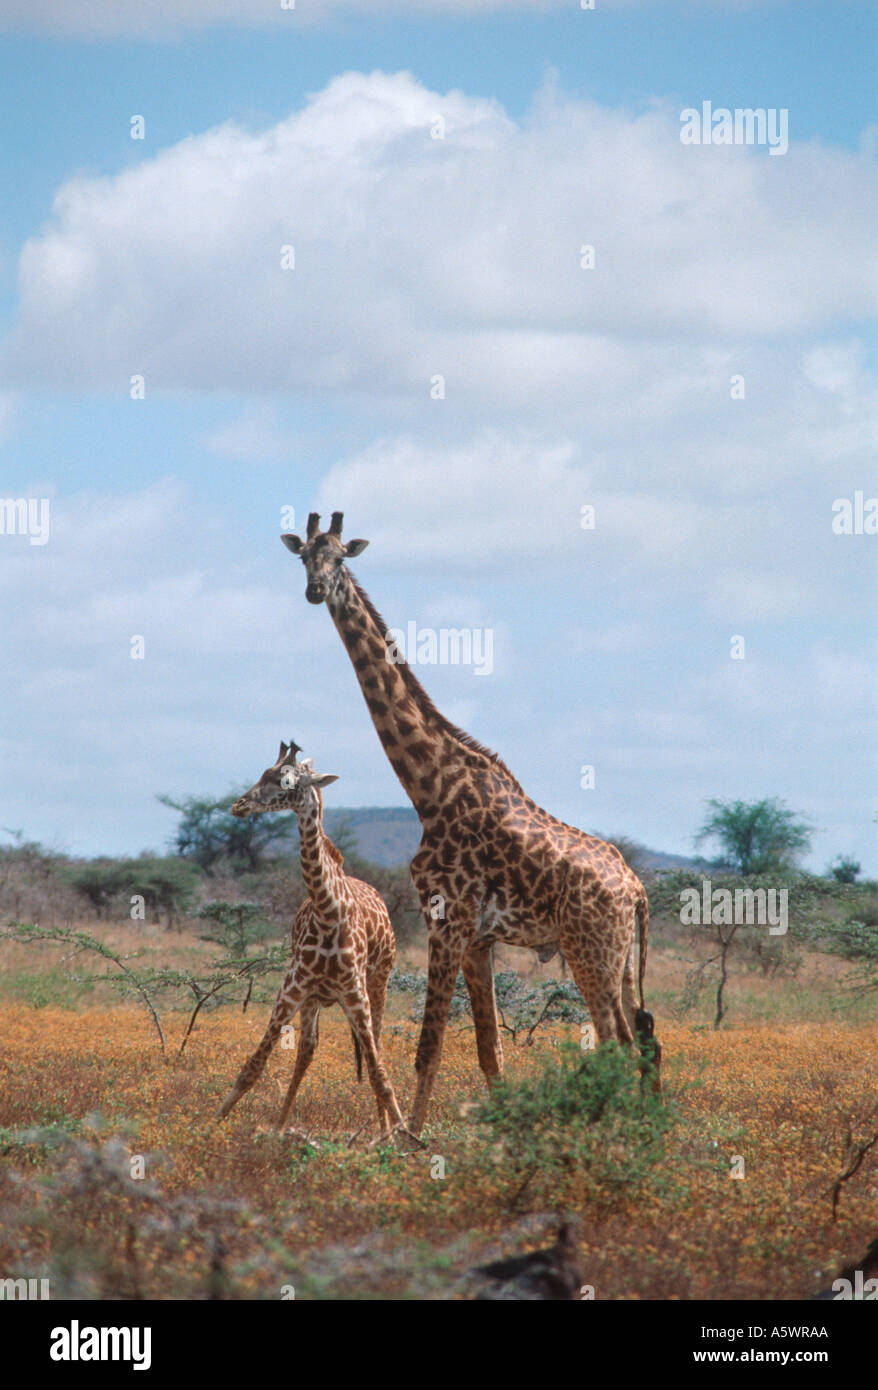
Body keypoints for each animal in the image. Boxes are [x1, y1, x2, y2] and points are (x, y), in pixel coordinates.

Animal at [218, 745, 402, 1134]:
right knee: (307, 1050)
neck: (329, 912)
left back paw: (384, 1129)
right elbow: (253, 1066)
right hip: (314, 998)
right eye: (263, 772)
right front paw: (214, 1122)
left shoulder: (356, 996)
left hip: (379, 982)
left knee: (375, 1047)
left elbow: (379, 1074)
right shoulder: (291, 990)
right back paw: (280, 1125)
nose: (239, 805)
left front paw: (404, 1133)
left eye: (285, 780)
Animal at [279, 517, 658, 1134]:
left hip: (591, 950)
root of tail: (637, 890)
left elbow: (429, 1045)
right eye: (304, 557)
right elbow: (488, 1049)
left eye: (339, 558)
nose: (315, 591)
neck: (429, 788)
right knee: (642, 1038)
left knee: (616, 1041)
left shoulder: (446, 920)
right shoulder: (479, 938)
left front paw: (408, 1137)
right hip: (622, 958)